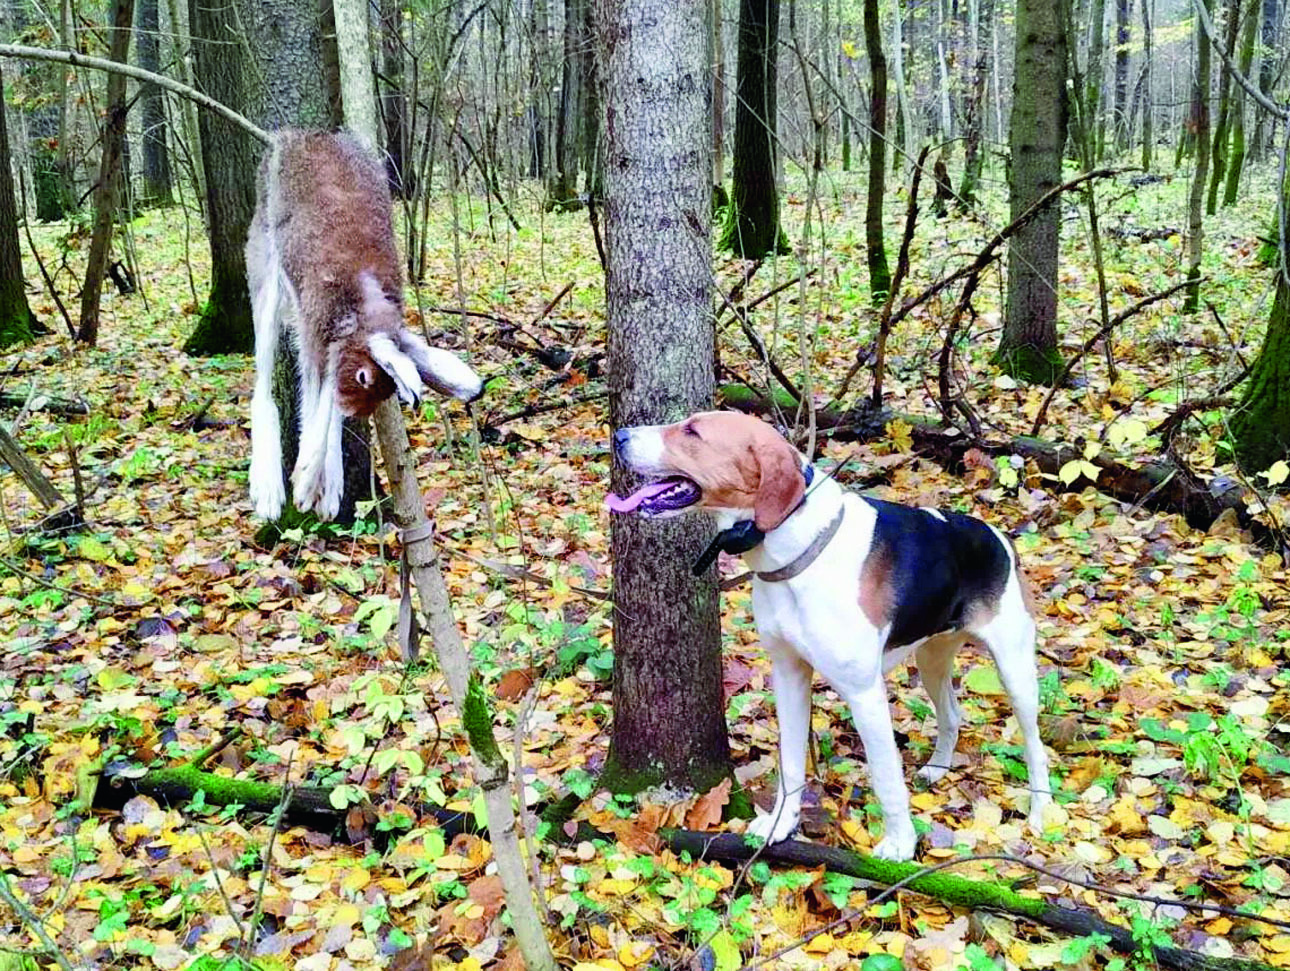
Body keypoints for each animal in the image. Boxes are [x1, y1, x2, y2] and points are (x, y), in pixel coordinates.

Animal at [608, 410, 1052, 856]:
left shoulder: (864, 692)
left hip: (1015, 669)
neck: (798, 548)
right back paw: (938, 767)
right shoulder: (788, 674)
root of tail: (1001, 538)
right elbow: (789, 763)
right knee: (952, 713)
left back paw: (1040, 812)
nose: (619, 436)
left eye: (693, 431)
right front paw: (781, 824)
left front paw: (900, 845)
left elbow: (886, 776)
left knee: (1035, 743)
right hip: (932, 658)